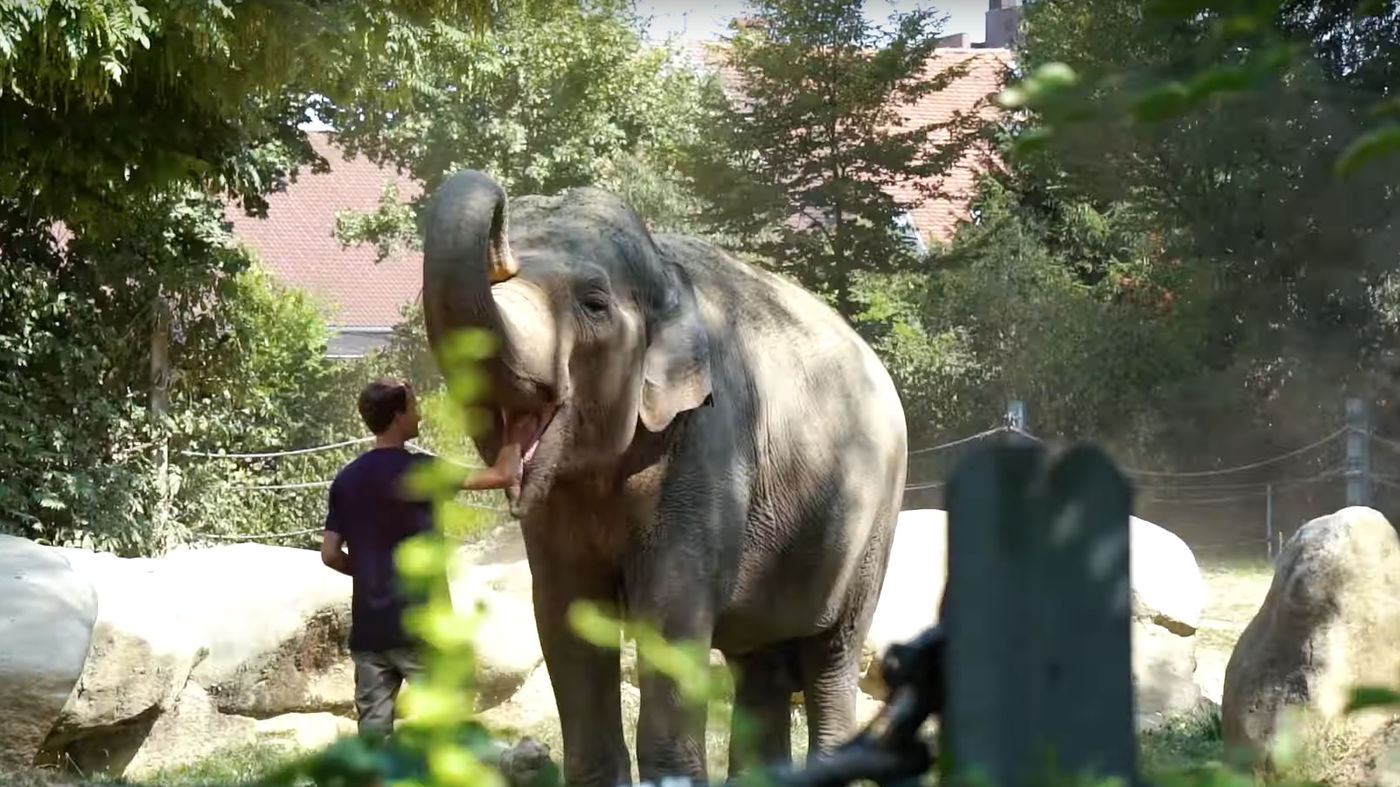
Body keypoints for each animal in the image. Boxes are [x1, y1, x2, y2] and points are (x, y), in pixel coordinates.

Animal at [420, 170, 912, 784]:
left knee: (830, 655)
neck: (663, 268)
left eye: (594, 303)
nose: (499, 221)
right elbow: (565, 613)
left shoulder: (706, 442)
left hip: (874, 523)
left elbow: (670, 609)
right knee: (760, 665)